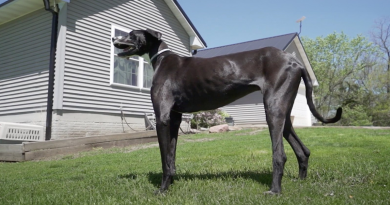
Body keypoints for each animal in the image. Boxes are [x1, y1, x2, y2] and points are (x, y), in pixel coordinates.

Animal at [111, 28, 340, 194]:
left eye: (131, 34)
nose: (114, 37)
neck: (162, 58)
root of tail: (295, 61)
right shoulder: (175, 118)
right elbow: (171, 156)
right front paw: (171, 184)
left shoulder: (162, 118)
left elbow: (164, 159)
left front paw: (162, 190)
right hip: (284, 113)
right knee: (303, 150)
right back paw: (300, 181)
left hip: (273, 111)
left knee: (280, 155)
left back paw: (275, 190)